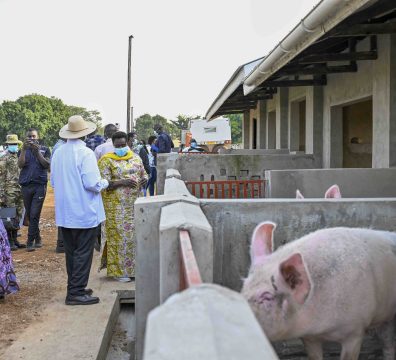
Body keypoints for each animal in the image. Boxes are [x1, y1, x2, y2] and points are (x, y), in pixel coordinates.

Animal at [240, 222, 396, 360]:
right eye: (244, 287)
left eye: (266, 297)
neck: (323, 328)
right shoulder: (309, 337)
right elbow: (314, 355)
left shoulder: (355, 331)